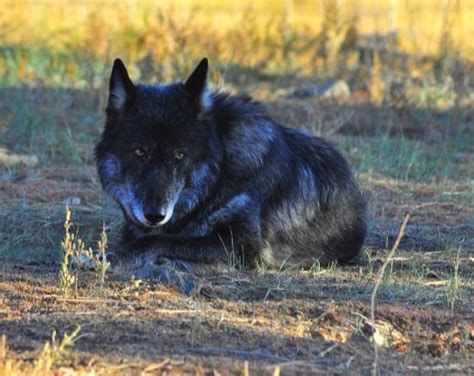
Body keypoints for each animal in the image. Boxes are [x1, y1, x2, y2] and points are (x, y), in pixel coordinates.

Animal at [94, 58, 364, 274]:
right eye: (139, 152)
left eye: (180, 155)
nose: (154, 215)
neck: (220, 173)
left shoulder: (243, 243)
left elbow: (161, 240)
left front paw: (115, 256)